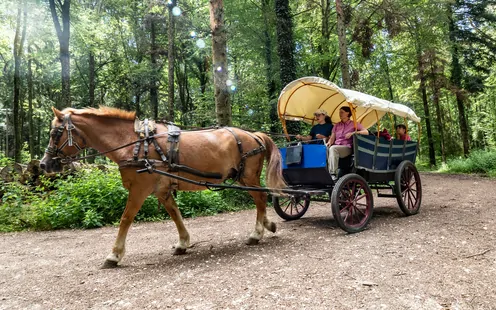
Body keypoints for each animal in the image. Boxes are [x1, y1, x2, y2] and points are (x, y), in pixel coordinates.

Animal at [39, 106, 286, 266]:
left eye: (55, 133)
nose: (43, 164)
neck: (135, 144)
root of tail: (255, 135)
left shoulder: (139, 189)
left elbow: (125, 219)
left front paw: (115, 255)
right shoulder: (161, 190)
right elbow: (175, 214)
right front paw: (183, 243)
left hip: (248, 177)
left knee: (260, 199)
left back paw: (257, 233)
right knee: (261, 200)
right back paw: (267, 225)